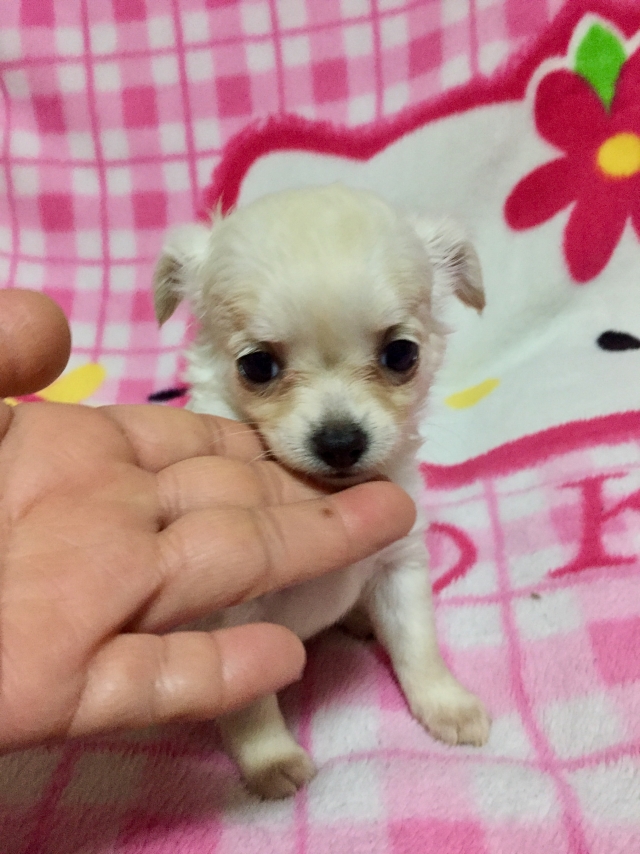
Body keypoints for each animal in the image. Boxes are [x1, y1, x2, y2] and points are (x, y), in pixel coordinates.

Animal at [153, 184, 490, 799]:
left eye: (401, 355)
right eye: (257, 366)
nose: (339, 441)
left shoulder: (400, 564)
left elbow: (418, 647)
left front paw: (447, 707)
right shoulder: (236, 614)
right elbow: (250, 699)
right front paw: (270, 762)